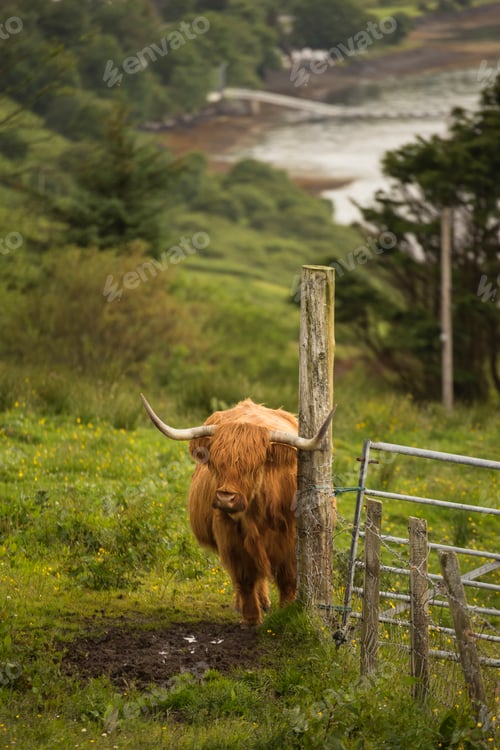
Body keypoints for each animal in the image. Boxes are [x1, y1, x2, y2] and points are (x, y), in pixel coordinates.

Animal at [141, 395, 334, 625]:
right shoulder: (231, 539)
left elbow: (288, 579)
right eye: (215, 464)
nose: (226, 498)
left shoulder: (290, 539)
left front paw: (286, 610)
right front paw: (251, 618)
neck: (257, 513)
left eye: (253, 468)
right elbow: (245, 578)